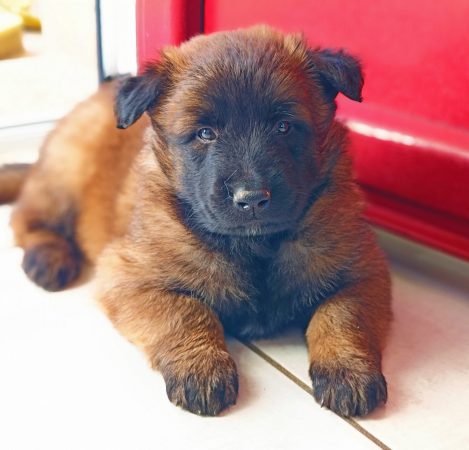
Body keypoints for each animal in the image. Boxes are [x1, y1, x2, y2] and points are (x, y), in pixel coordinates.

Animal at [0, 26, 392, 416]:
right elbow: (185, 309)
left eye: (284, 127)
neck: (255, 247)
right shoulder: (128, 276)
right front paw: (202, 367)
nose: (252, 198)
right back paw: (48, 258)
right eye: (205, 133)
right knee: (26, 218)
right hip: (65, 175)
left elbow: (342, 315)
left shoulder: (363, 271)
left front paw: (348, 371)